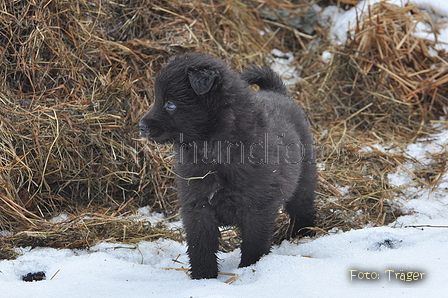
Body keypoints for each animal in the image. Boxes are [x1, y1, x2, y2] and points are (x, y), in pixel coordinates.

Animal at [140, 53, 316, 280]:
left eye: (170, 104)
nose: (141, 127)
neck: (212, 151)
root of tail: (277, 92)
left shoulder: (257, 207)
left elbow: (254, 244)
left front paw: (250, 269)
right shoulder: (197, 206)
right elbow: (200, 245)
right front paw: (203, 277)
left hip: (305, 178)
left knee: (303, 208)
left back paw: (304, 235)